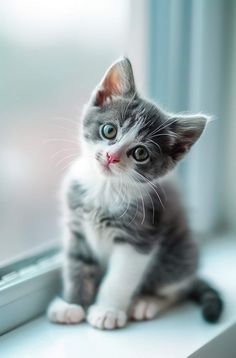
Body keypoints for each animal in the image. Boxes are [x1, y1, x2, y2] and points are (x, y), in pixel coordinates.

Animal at [47, 57, 223, 328]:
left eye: (140, 153)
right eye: (109, 130)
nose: (111, 156)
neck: (106, 188)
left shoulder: (140, 236)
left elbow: (119, 278)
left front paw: (107, 311)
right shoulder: (76, 228)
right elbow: (77, 265)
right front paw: (72, 304)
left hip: (180, 255)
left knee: (176, 289)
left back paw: (145, 302)